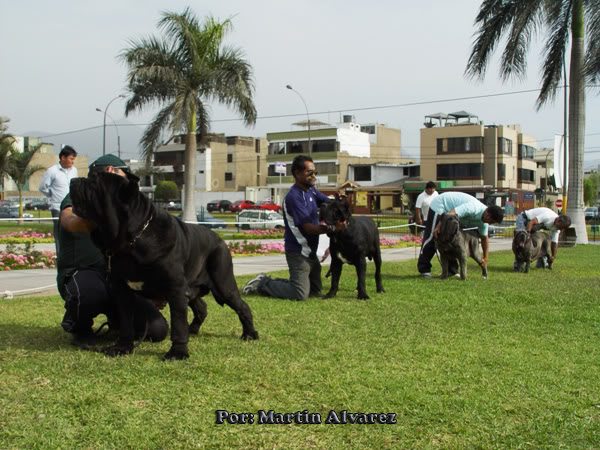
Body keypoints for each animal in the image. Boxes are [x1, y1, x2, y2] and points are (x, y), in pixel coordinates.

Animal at [70, 171, 258, 360]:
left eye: (94, 182)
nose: (74, 180)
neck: (131, 240)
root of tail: (220, 239)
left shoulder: (175, 289)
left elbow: (178, 324)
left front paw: (178, 352)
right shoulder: (121, 290)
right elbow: (126, 322)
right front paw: (122, 347)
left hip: (222, 284)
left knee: (242, 306)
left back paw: (250, 334)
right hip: (192, 288)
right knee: (202, 308)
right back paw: (193, 330)